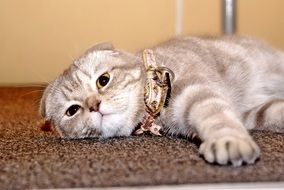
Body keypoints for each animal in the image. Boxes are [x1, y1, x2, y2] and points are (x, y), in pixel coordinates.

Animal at [39, 36, 284, 166]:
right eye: (72, 110)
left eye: (103, 80)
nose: (94, 106)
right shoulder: (249, 113)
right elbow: (272, 112)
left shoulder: (198, 92)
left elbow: (218, 118)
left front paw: (229, 141)